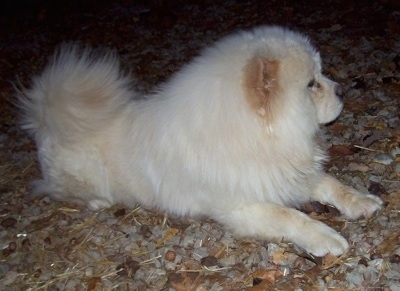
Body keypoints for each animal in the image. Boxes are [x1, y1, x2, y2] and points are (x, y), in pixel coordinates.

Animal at [20, 26, 382, 256]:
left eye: (320, 77)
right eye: (311, 84)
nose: (342, 90)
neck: (258, 136)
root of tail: (48, 119)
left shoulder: (289, 174)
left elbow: (332, 184)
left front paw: (361, 201)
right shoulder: (242, 205)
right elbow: (291, 217)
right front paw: (326, 237)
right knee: (56, 190)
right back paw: (97, 202)